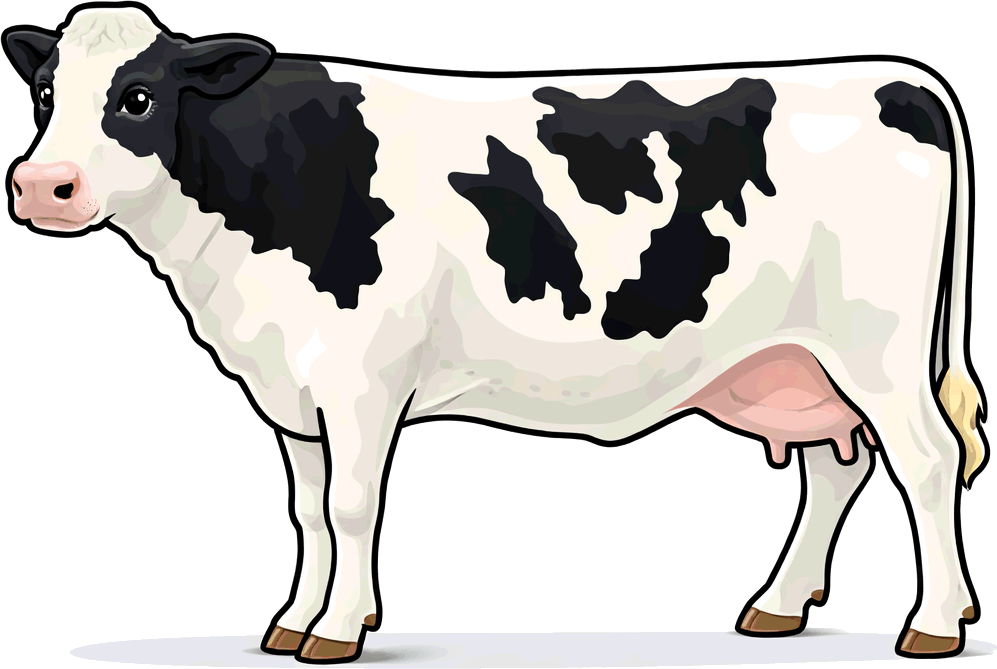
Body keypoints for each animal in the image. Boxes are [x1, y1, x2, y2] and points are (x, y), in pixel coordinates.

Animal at [3, 2, 988, 663]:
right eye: (44, 93)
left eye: (135, 97)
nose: (40, 185)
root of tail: (897, 74)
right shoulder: (292, 388)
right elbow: (307, 512)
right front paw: (290, 621)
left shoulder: (361, 379)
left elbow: (351, 506)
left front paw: (336, 629)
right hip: (795, 360)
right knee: (835, 467)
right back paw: (779, 605)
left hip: (879, 348)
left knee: (927, 460)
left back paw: (933, 623)